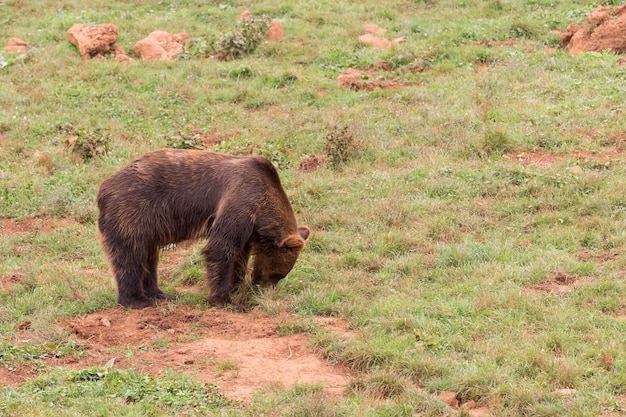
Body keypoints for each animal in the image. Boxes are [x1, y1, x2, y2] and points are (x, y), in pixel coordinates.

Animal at [96, 148, 308, 308]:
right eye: (277, 275)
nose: (262, 293)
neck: (263, 210)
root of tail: (103, 189)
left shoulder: (249, 227)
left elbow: (239, 255)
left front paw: (235, 286)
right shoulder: (240, 200)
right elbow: (221, 249)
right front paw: (225, 300)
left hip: (149, 226)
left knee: (150, 257)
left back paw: (161, 294)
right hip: (133, 211)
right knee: (131, 255)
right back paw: (137, 300)